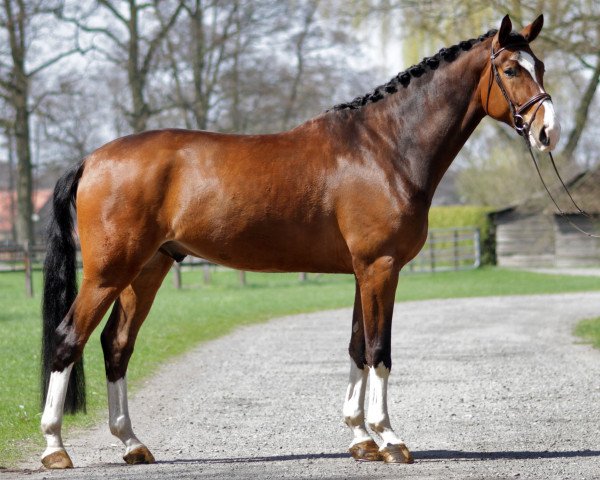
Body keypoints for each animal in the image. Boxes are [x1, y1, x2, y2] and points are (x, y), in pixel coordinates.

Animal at [41, 15, 556, 468]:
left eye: (542, 66)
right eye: (511, 69)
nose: (546, 130)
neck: (385, 149)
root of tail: (92, 158)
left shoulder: (362, 272)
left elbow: (356, 348)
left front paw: (360, 439)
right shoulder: (381, 267)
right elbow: (379, 351)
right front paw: (389, 439)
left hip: (146, 270)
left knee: (116, 345)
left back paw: (132, 444)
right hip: (108, 273)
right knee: (69, 340)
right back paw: (55, 448)